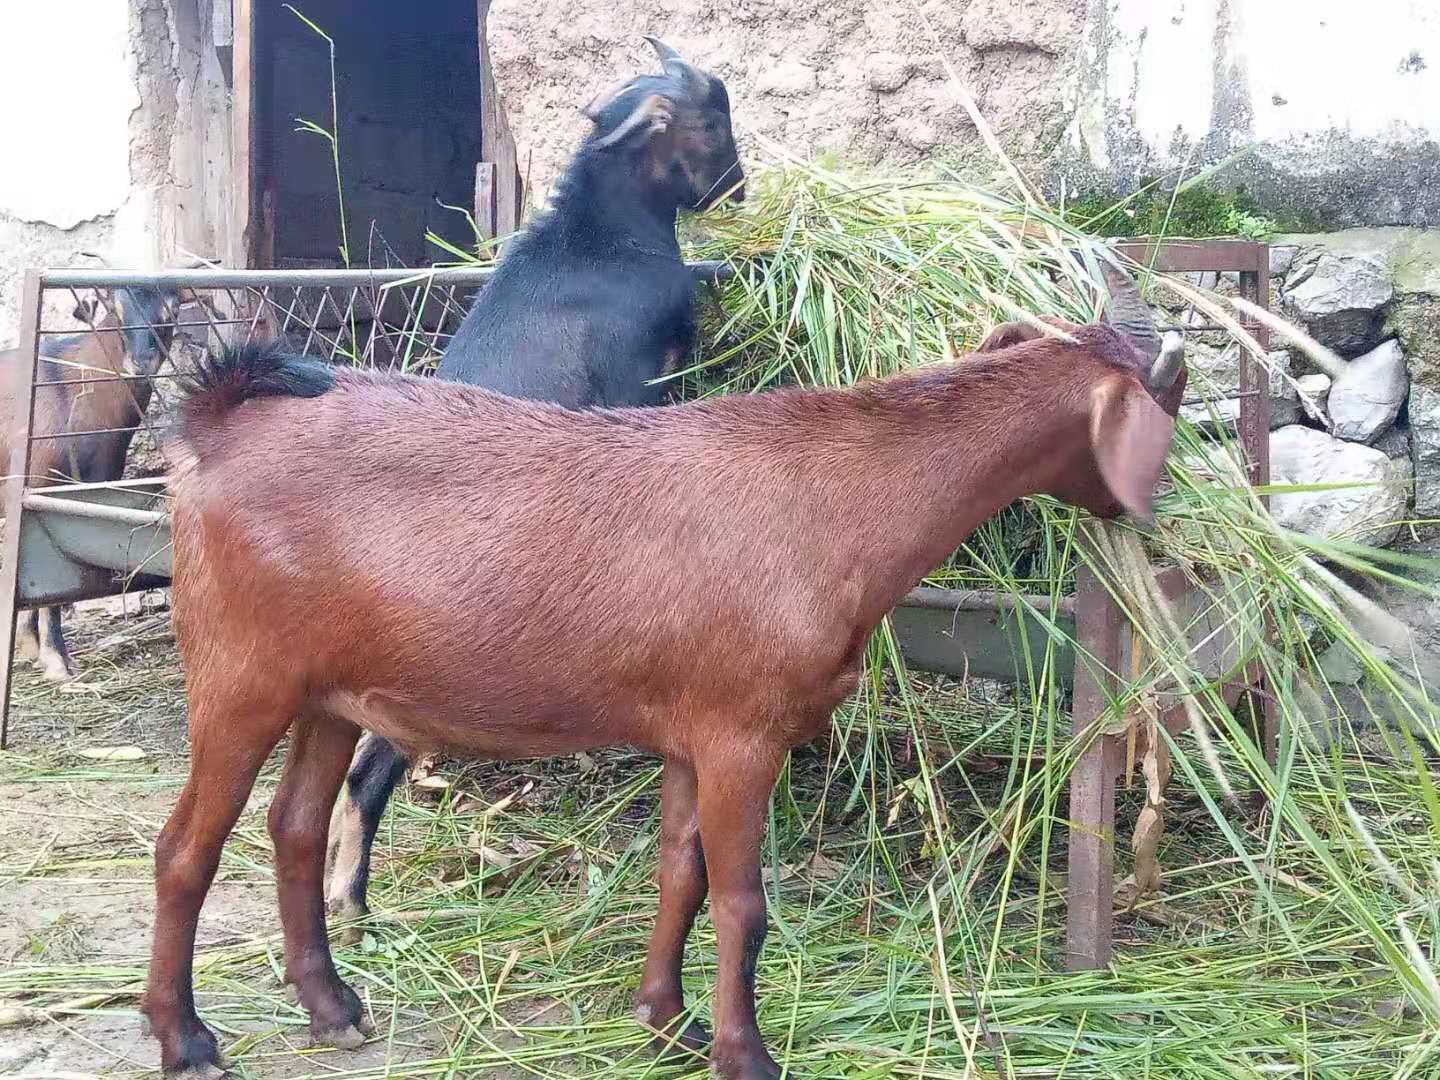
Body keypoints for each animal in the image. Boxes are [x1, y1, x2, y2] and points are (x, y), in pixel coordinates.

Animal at [0, 288, 181, 676]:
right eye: (115, 309)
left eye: (172, 310)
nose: (141, 363)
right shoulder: (34, 488)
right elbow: (49, 585)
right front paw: (56, 661)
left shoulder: (96, 483)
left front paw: (32, 645)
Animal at [143, 266, 1180, 1077]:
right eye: (1167, 409)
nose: (1156, 510)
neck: (838, 503)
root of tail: (222, 427)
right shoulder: (743, 735)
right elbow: (742, 902)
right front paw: (744, 1055)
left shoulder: (691, 732)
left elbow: (680, 874)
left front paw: (666, 1024)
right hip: (239, 672)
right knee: (187, 848)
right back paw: (188, 1041)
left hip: (326, 692)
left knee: (294, 826)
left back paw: (335, 1009)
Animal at [325, 36, 743, 933]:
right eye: (712, 119)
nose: (738, 187)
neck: (598, 238)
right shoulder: (638, 383)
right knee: (369, 767)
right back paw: (355, 903)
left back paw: (350, 901)